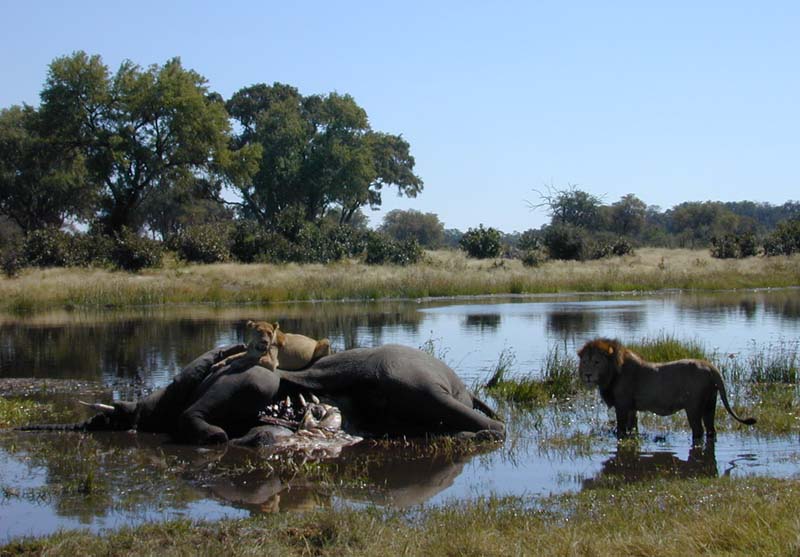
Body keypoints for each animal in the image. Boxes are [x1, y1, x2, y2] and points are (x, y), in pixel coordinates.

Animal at [576, 336, 756, 440]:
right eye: (584, 361)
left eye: (596, 362)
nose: (587, 375)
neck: (612, 373)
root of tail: (711, 367)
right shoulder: (632, 408)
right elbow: (633, 428)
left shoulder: (622, 405)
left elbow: (621, 430)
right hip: (710, 404)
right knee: (711, 430)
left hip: (693, 407)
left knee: (699, 431)